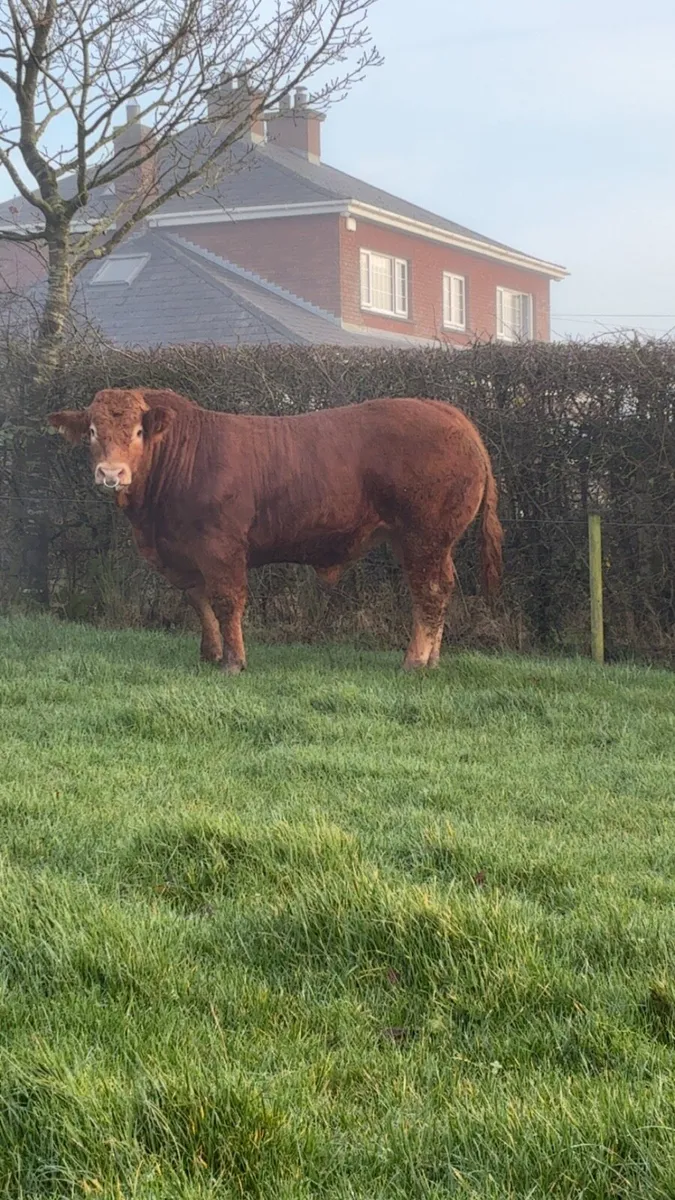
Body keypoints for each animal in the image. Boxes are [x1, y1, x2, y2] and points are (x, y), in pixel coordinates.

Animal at [48, 388, 503, 674]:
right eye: (92, 432)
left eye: (139, 431)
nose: (111, 473)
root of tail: (446, 412)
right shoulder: (185, 556)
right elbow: (199, 603)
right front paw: (209, 654)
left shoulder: (220, 548)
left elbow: (227, 602)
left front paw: (233, 663)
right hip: (432, 543)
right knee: (443, 589)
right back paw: (433, 659)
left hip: (424, 537)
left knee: (430, 593)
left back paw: (414, 661)